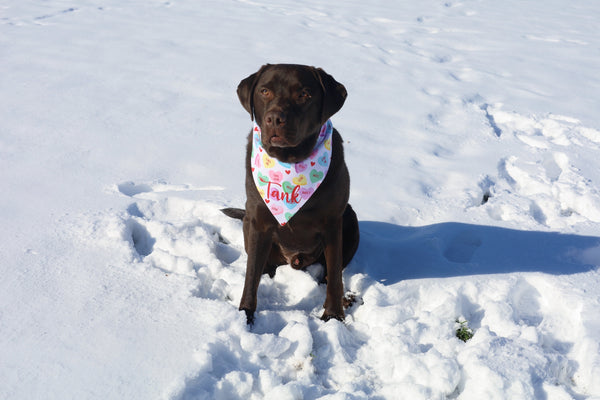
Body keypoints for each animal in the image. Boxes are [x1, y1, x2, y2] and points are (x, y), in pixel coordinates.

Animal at [223, 64, 358, 324]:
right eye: (264, 91)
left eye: (304, 94)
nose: (275, 118)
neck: (290, 161)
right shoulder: (258, 221)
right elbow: (251, 275)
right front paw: (246, 316)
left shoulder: (332, 223)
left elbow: (335, 276)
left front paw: (333, 315)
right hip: (248, 224)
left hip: (350, 219)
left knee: (329, 275)